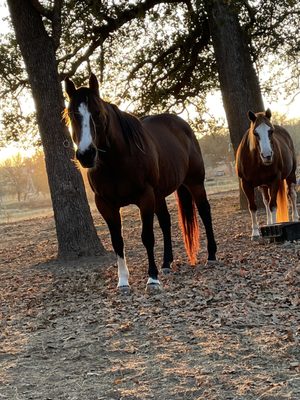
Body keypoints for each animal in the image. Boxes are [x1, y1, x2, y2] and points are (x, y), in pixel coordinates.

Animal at [64, 73, 217, 290]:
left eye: (98, 112)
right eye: (71, 114)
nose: (86, 155)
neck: (116, 163)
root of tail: (182, 125)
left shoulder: (145, 198)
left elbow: (147, 237)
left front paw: (152, 278)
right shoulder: (106, 205)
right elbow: (117, 241)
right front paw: (123, 282)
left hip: (194, 183)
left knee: (204, 212)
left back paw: (211, 255)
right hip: (160, 195)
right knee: (165, 222)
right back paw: (166, 263)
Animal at [237, 108, 298, 238]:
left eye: (271, 131)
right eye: (255, 133)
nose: (267, 156)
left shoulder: (274, 180)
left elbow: (273, 205)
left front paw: (274, 227)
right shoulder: (246, 183)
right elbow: (253, 207)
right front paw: (255, 232)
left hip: (291, 175)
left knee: (292, 195)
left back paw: (295, 218)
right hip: (263, 185)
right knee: (265, 201)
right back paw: (269, 222)